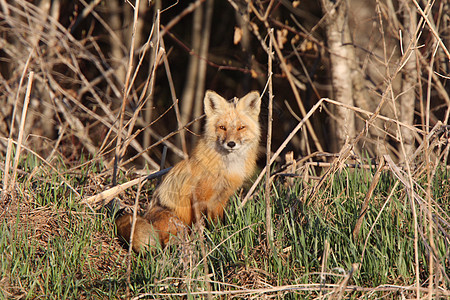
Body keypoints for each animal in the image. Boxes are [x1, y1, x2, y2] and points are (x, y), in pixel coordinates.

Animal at [116, 90, 262, 252]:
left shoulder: (220, 199)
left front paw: (218, 236)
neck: (226, 168)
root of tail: (146, 217)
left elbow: (217, 223)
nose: (231, 143)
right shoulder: (199, 197)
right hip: (175, 220)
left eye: (241, 128)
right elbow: (201, 223)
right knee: (165, 242)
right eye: (222, 127)